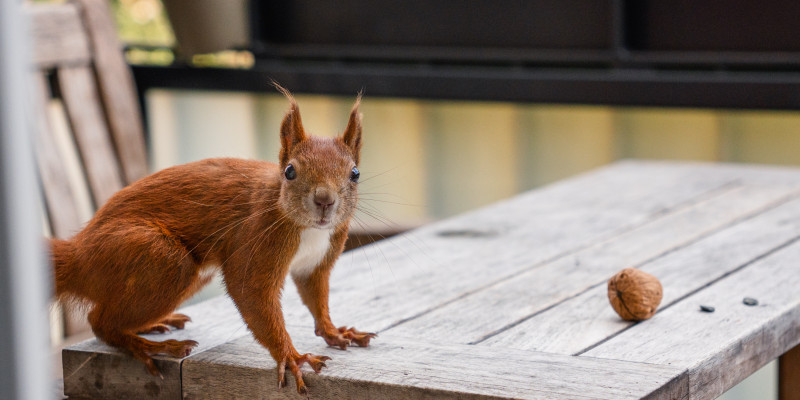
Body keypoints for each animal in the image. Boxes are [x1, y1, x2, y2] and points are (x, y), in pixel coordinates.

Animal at [50, 87, 376, 394]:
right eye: (290, 171)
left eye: (355, 173)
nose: (324, 200)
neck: (308, 229)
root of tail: (78, 253)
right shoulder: (255, 238)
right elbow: (250, 290)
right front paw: (292, 357)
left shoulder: (316, 263)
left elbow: (316, 298)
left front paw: (335, 332)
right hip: (158, 258)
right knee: (99, 321)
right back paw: (152, 346)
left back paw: (153, 325)